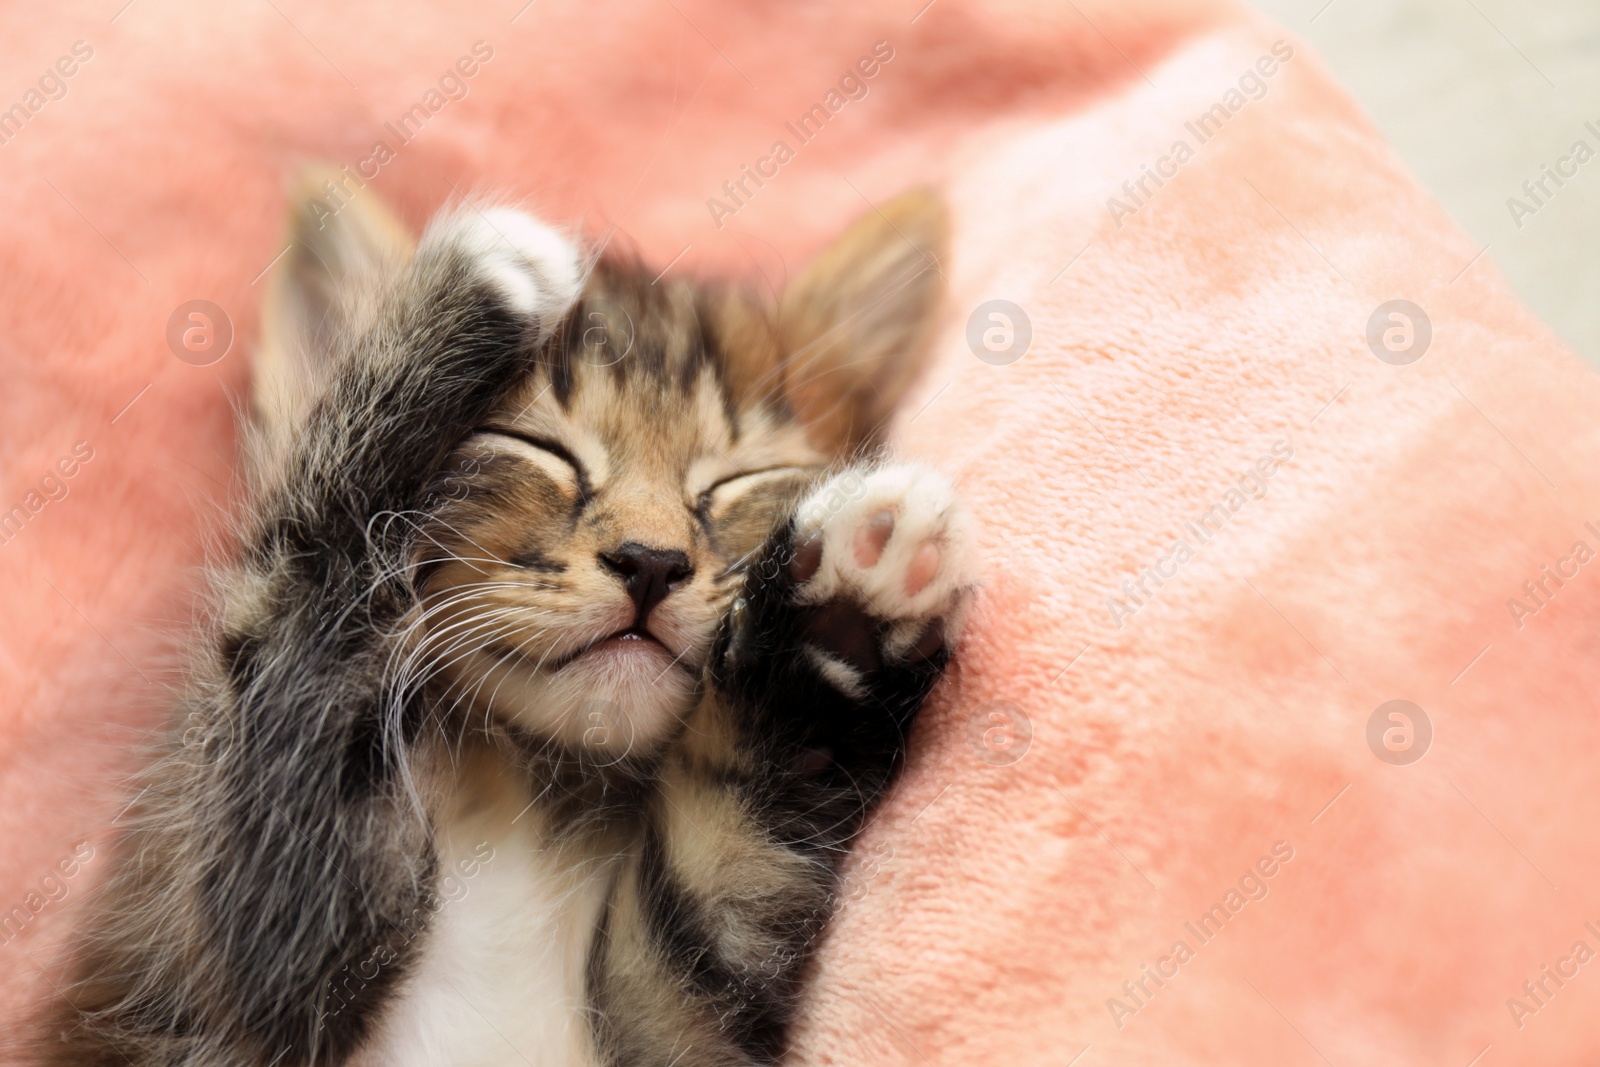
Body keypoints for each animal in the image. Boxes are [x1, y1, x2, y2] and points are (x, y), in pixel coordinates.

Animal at [40, 181, 972, 1067]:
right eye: (536, 447)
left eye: (740, 479)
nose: (651, 560)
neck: (536, 792)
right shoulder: (245, 933)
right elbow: (311, 571)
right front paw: (461, 299)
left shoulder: (677, 1022)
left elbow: (728, 868)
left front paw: (837, 620)